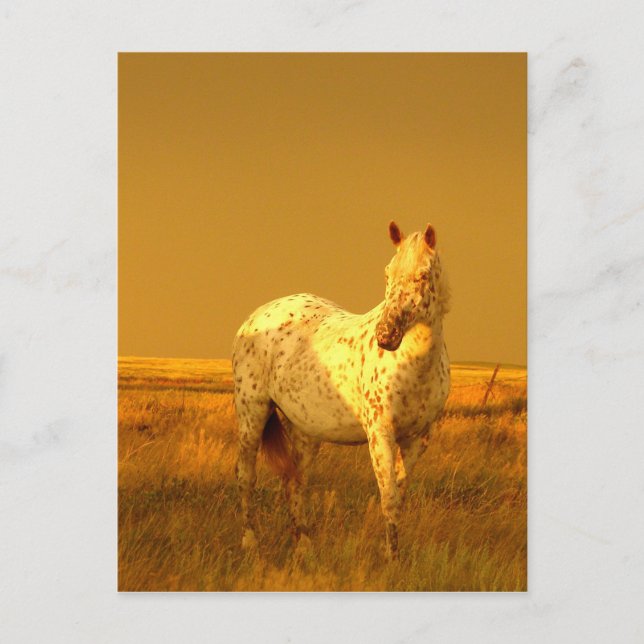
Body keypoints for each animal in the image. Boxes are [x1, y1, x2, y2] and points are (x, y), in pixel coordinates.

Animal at [232, 221, 451, 558]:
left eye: (423, 275)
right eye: (387, 274)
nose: (386, 336)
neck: (415, 366)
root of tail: (255, 317)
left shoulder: (418, 440)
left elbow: (398, 494)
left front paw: (394, 553)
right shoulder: (380, 434)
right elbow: (388, 495)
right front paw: (391, 558)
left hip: (304, 430)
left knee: (295, 481)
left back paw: (304, 547)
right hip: (251, 414)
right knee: (246, 476)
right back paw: (250, 543)